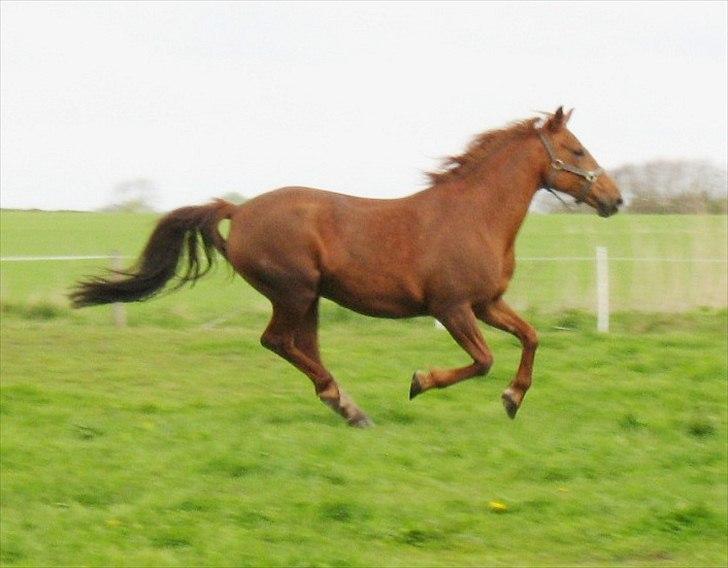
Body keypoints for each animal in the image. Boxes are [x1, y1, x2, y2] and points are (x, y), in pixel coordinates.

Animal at [71, 106, 624, 426]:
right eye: (577, 150)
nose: (615, 199)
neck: (474, 216)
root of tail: (239, 211)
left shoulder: (487, 302)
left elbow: (531, 336)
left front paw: (513, 398)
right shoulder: (451, 307)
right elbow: (484, 359)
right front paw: (420, 382)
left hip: (310, 298)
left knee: (302, 346)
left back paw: (344, 404)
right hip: (293, 292)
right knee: (278, 341)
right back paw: (348, 405)